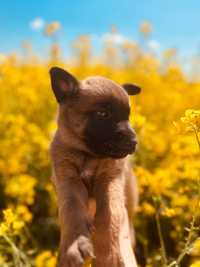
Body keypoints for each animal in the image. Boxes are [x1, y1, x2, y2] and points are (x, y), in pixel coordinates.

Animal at [49, 67, 141, 267]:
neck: (88, 155)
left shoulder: (109, 180)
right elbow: (72, 210)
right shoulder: (69, 181)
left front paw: (108, 255)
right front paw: (74, 245)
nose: (134, 143)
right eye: (103, 114)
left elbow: (108, 215)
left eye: (128, 116)